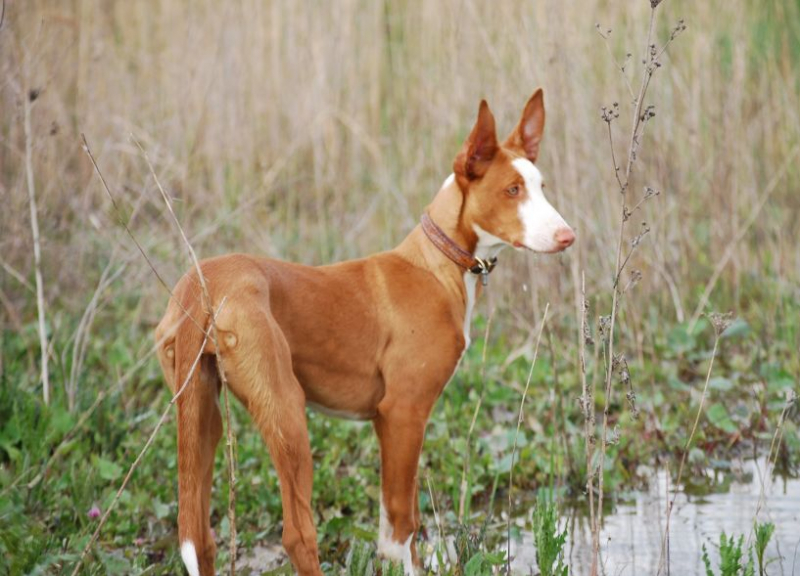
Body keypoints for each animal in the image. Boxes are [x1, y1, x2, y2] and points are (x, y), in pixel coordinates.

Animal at [153, 90, 572, 576]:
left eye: (541, 186)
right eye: (512, 190)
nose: (568, 236)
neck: (438, 264)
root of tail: (203, 287)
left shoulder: (392, 422)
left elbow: (399, 519)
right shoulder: (404, 412)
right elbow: (402, 524)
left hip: (199, 412)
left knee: (200, 536)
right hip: (287, 414)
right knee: (298, 534)